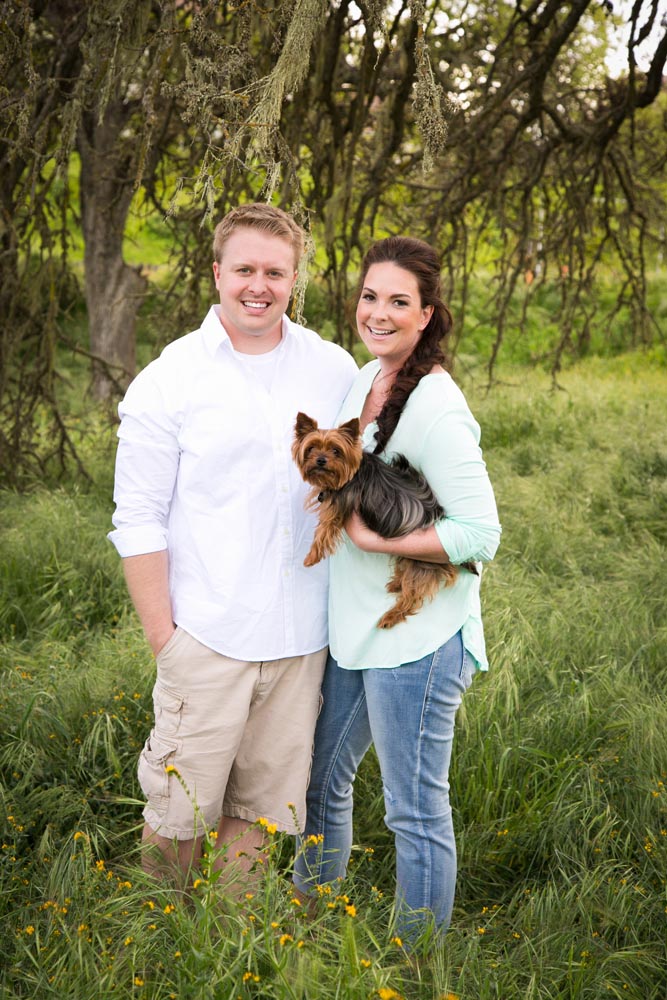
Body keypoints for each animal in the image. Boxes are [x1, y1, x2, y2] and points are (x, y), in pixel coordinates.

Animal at [290, 410, 474, 628]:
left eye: (336, 450)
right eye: (311, 448)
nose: (320, 460)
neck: (351, 473)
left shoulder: (339, 505)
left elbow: (324, 529)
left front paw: (311, 557)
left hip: (423, 563)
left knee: (413, 595)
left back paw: (391, 616)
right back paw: (396, 584)